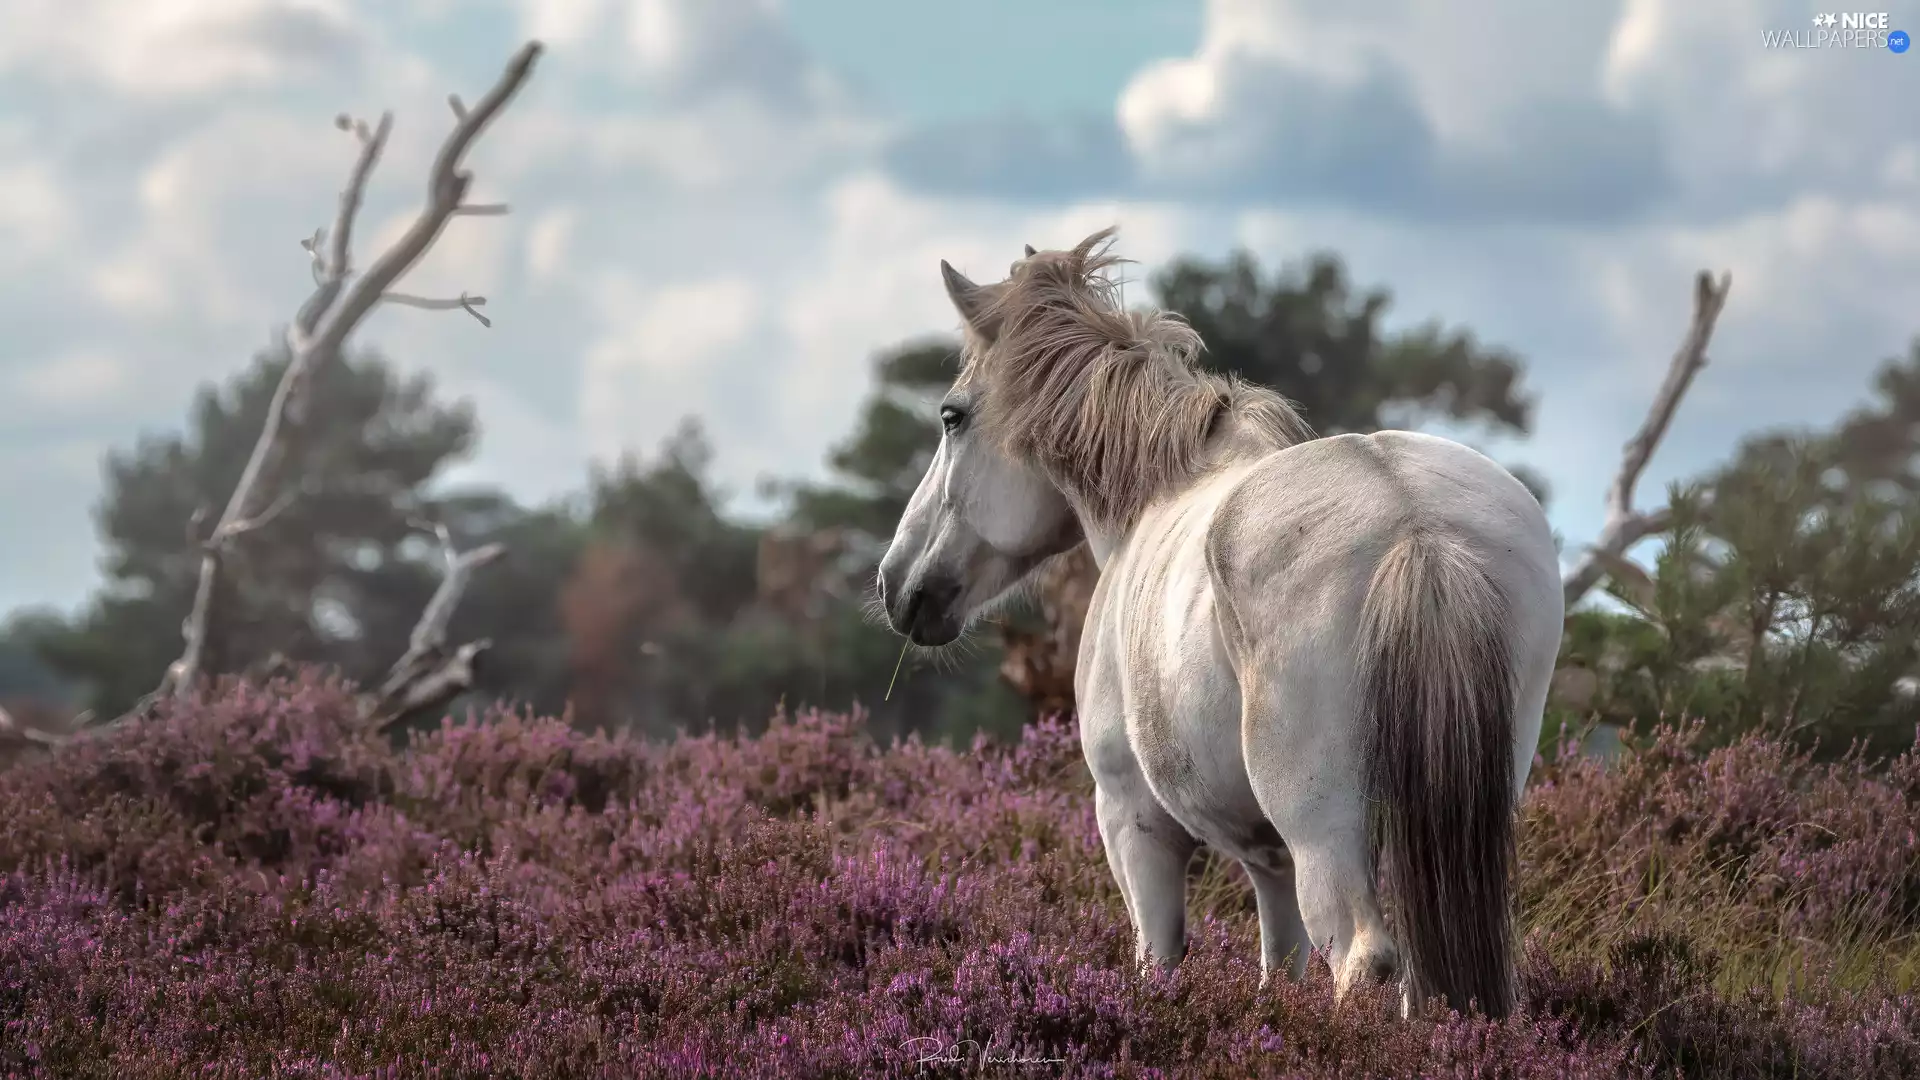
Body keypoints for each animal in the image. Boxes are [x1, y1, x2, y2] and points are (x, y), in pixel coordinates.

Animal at [875, 229, 1563, 1018]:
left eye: (952, 416)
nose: (897, 585)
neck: (1158, 490)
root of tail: (1415, 524)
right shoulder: (1269, 859)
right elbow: (1279, 966)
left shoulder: (1134, 822)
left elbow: (1159, 958)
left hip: (1324, 831)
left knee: (1362, 956)